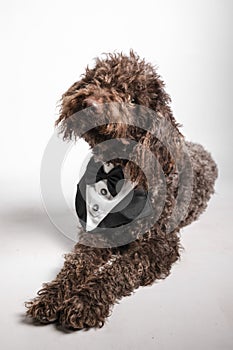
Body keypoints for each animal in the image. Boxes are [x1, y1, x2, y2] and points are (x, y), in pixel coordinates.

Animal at [24, 50, 218, 330]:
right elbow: (74, 266)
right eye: (100, 78)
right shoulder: (97, 236)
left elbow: (120, 270)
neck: (120, 172)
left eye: (134, 99)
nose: (91, 101)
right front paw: (52, 296)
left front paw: (83, 303)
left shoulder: (159, 247)